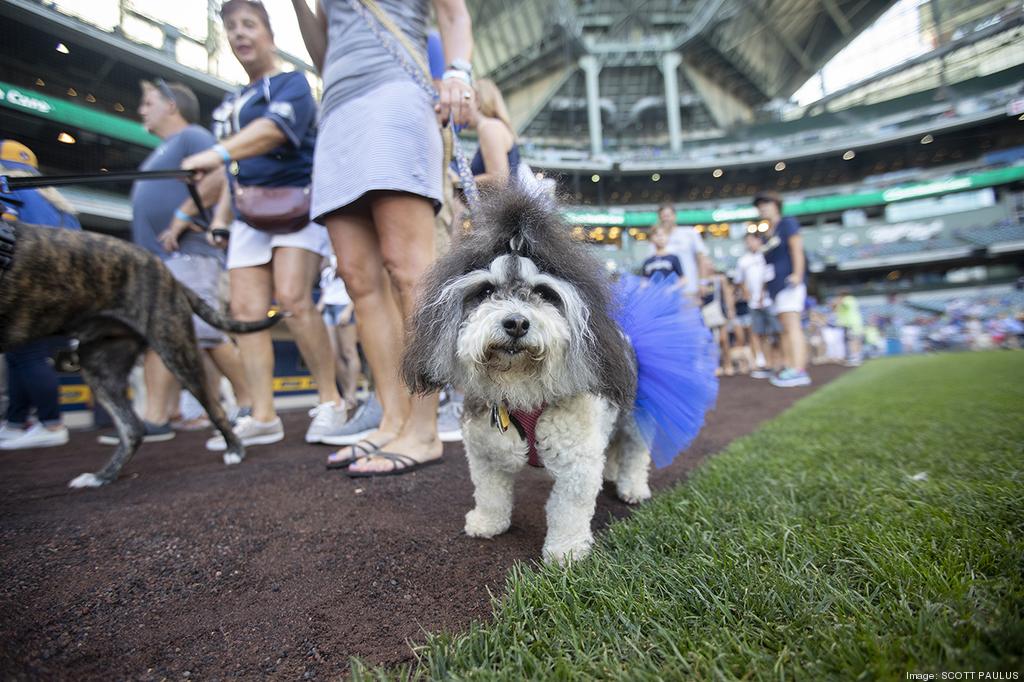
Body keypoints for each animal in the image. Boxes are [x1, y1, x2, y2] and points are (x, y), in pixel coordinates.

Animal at [0, 220, 280, 485]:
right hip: (102, 365)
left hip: (174, 347)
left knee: (214, 407)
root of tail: (171, 276)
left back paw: (233, 449)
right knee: (132, 428)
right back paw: (101, 477)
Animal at [403, 188, 716, 561]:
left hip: (636, 420)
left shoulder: (577, 464)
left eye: (543, 293)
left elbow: (568, 510)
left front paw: (565, 552)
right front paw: (487, 523)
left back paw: (632, 488)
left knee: (635, 455)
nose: (516, 323)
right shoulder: (484, 455)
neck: (522, 390)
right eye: (487, 291)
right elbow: (491, 493)